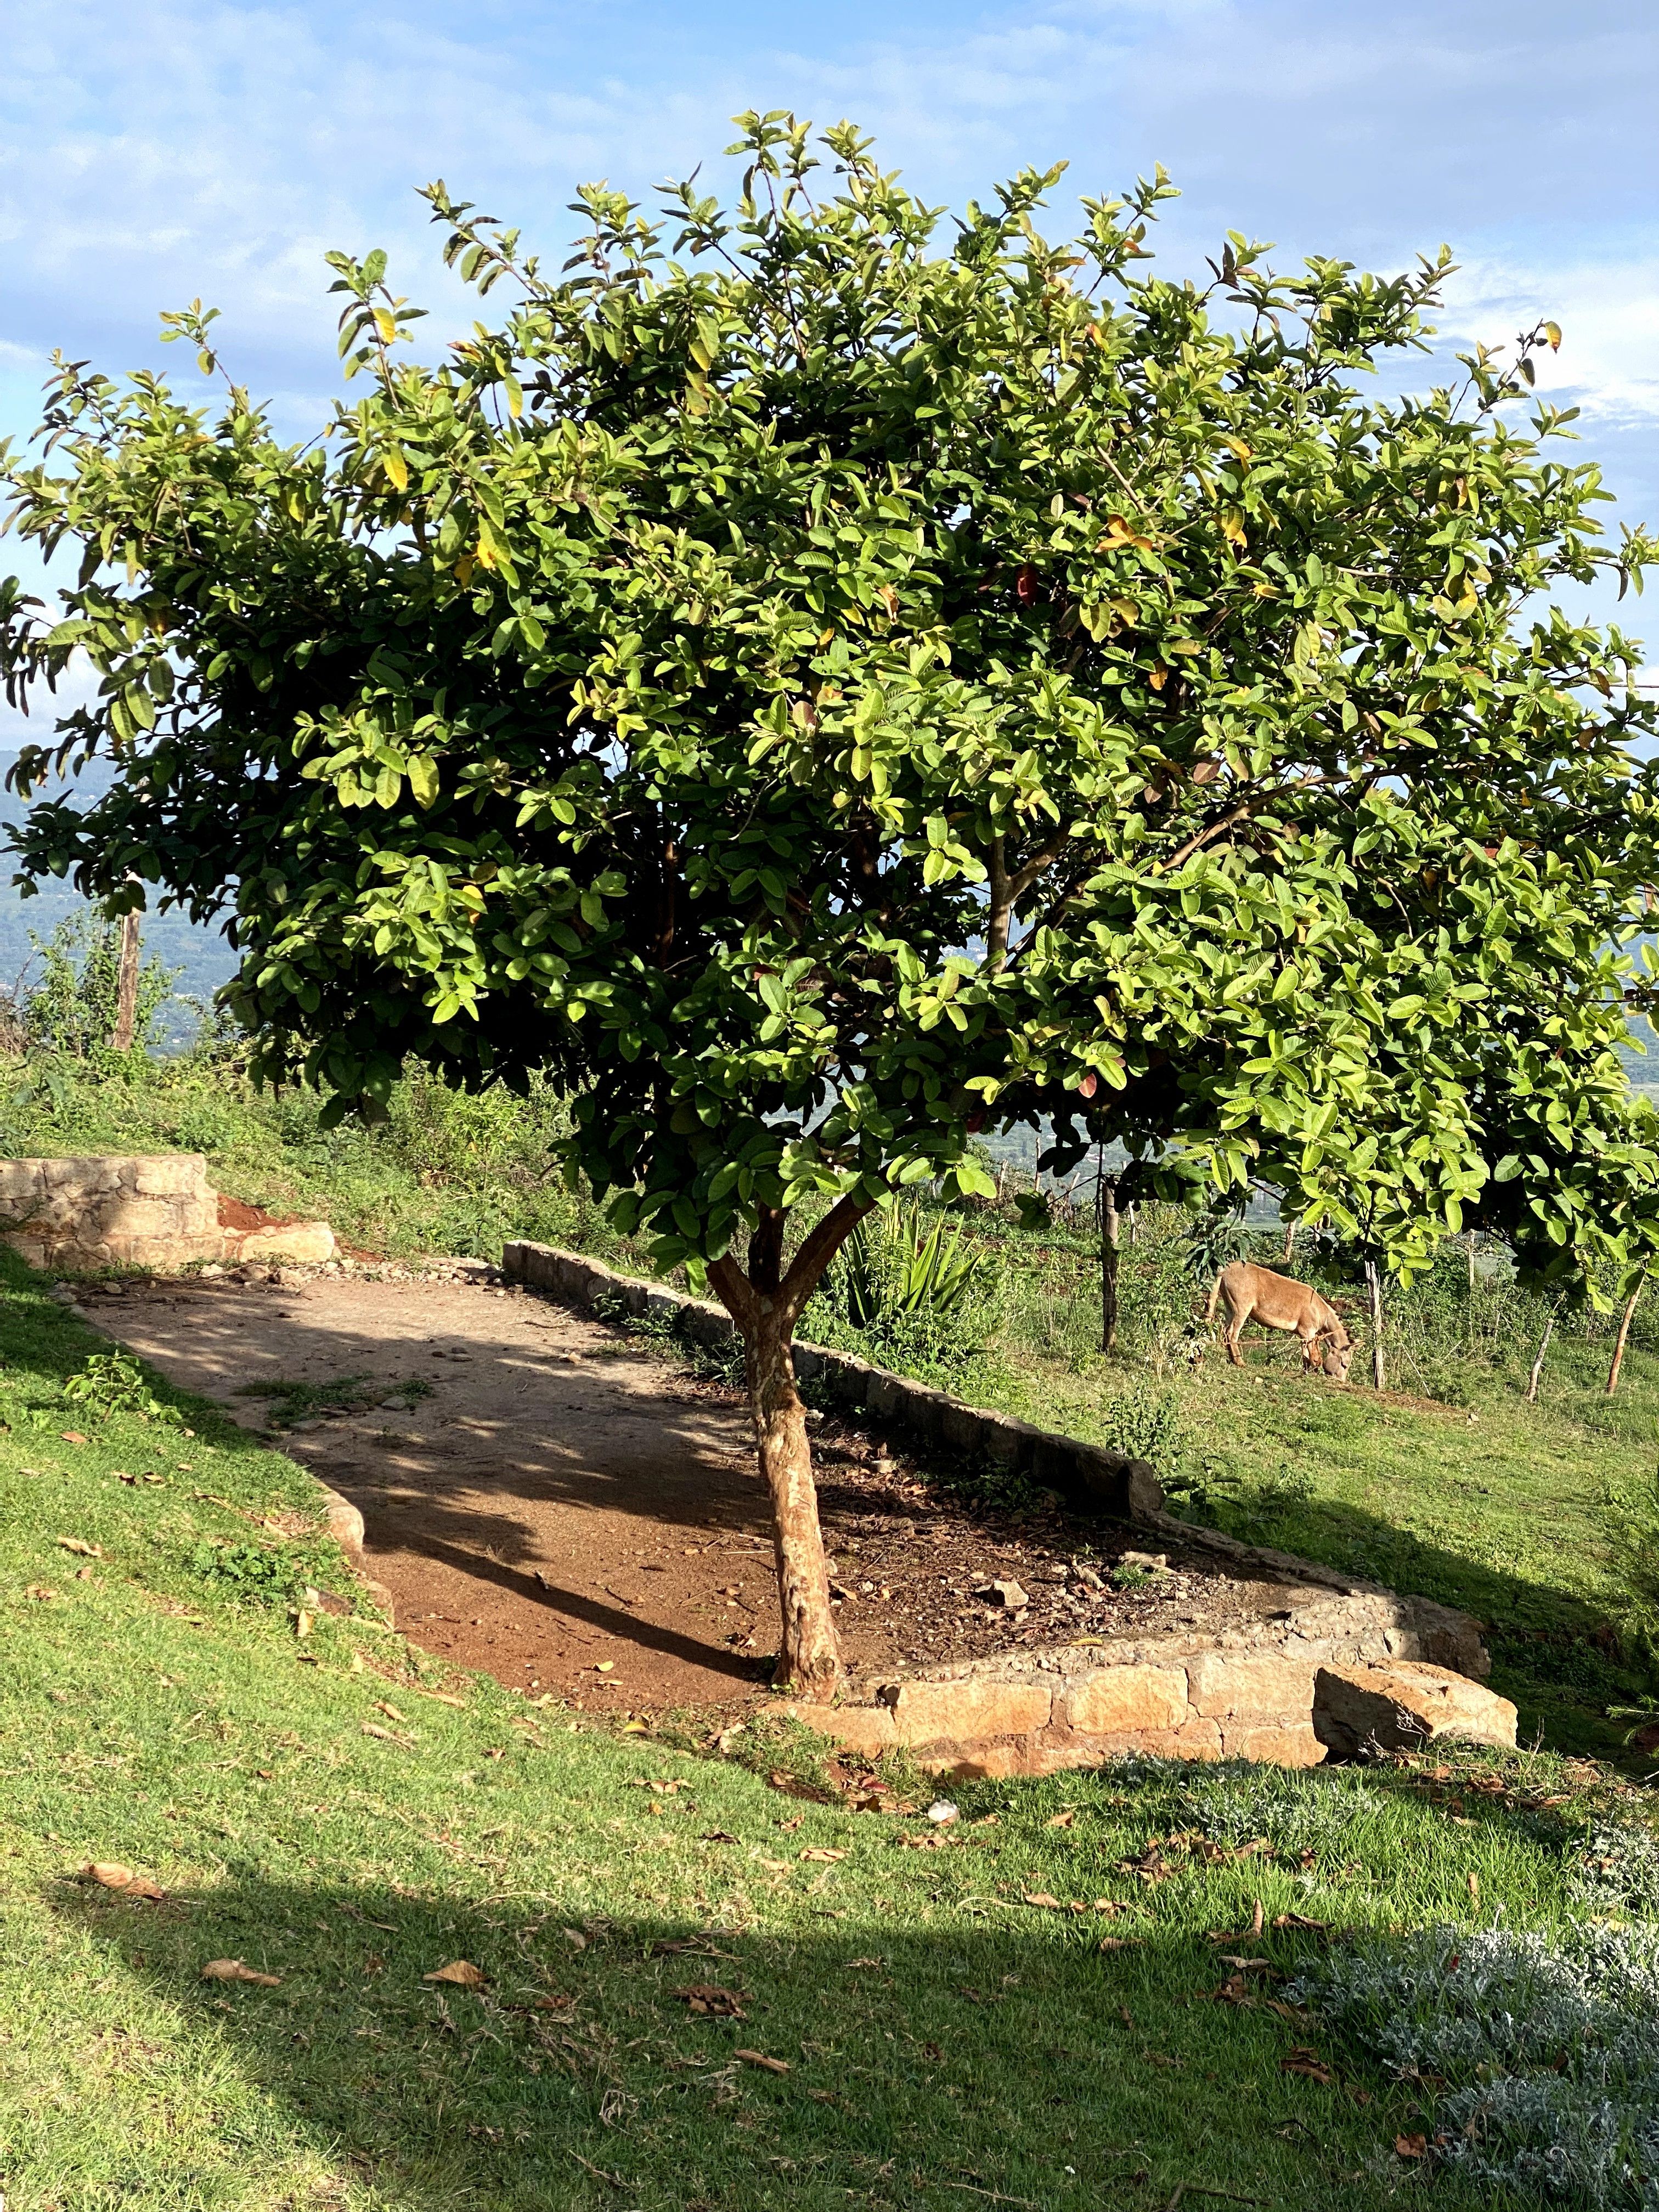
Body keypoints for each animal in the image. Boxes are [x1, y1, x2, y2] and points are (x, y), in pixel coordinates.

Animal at [1204, 1261, 1354, 1380]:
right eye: (1344, 1365)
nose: (1342, 1381)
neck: (1320, 1311)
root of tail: (1227, 1269)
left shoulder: (1304, 1335)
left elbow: (1305, 1353)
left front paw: (1306, 1371)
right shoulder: (1308, 1332)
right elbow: (1309, 1352)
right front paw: (1312, 1371)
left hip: (1230, 1306)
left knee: (1225, 1332)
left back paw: (1230, 1359)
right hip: (1242, 1308)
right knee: (1232, 1334)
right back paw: (1239, 1362)